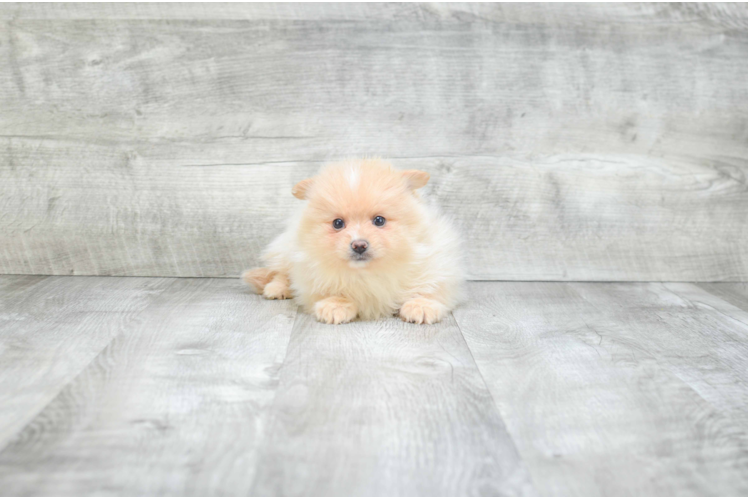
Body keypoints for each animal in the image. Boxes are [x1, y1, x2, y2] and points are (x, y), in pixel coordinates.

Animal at [241, 158, 462, 326]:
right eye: (338, 223)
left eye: (379, 220)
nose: (359, 245)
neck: (368, 272)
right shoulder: (310, 271)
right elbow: (330, 290)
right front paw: (335, 305)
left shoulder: (435, 261)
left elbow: (431, 287)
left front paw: (421, 306)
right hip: (286, 249)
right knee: (281, 272)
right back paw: (277, 289)